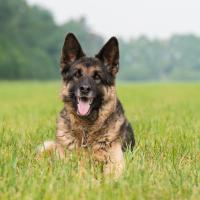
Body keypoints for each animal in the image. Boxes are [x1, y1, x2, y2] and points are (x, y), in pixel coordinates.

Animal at [38, 32, 135, 178]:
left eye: (97, 77)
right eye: (77, 74)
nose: (84, 89)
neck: (86, 130)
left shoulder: (116, 162)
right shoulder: (64, 162)